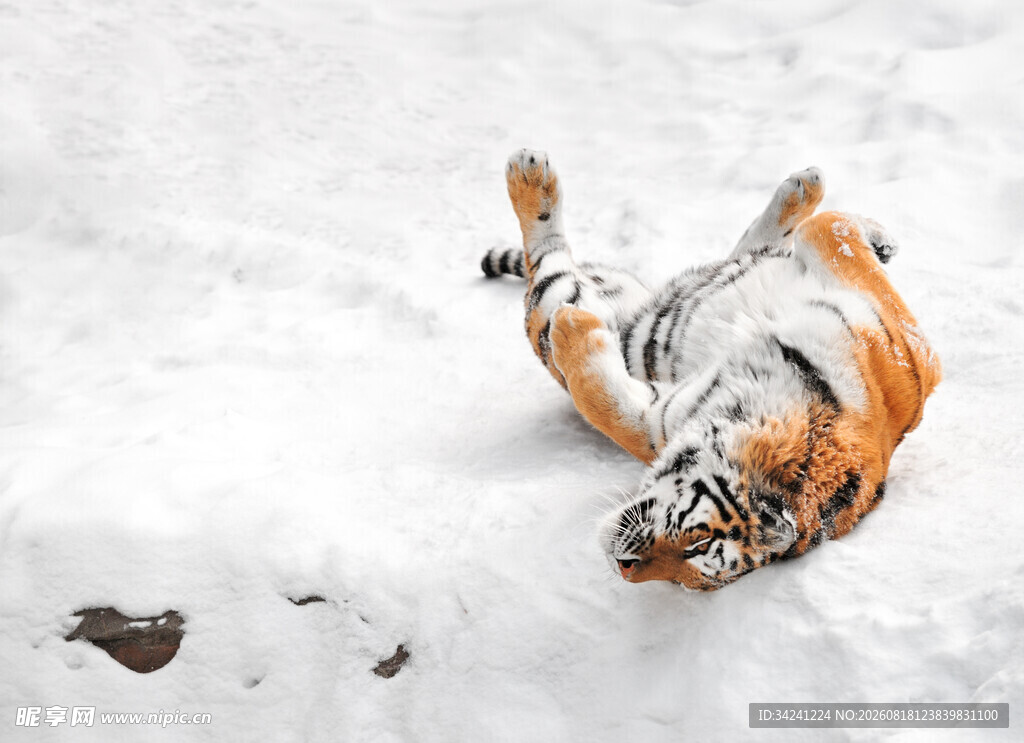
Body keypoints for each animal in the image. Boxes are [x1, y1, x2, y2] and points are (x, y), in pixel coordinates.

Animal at [481, 149, 941, 591]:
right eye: (700, 542)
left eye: (693, 563)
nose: (623, 568)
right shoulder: (910, 348)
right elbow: (832, 229)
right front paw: (872, 235)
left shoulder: (662, 417)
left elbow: (605, 404)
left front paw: (573, 327)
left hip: (611, 324)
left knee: (548, 268)